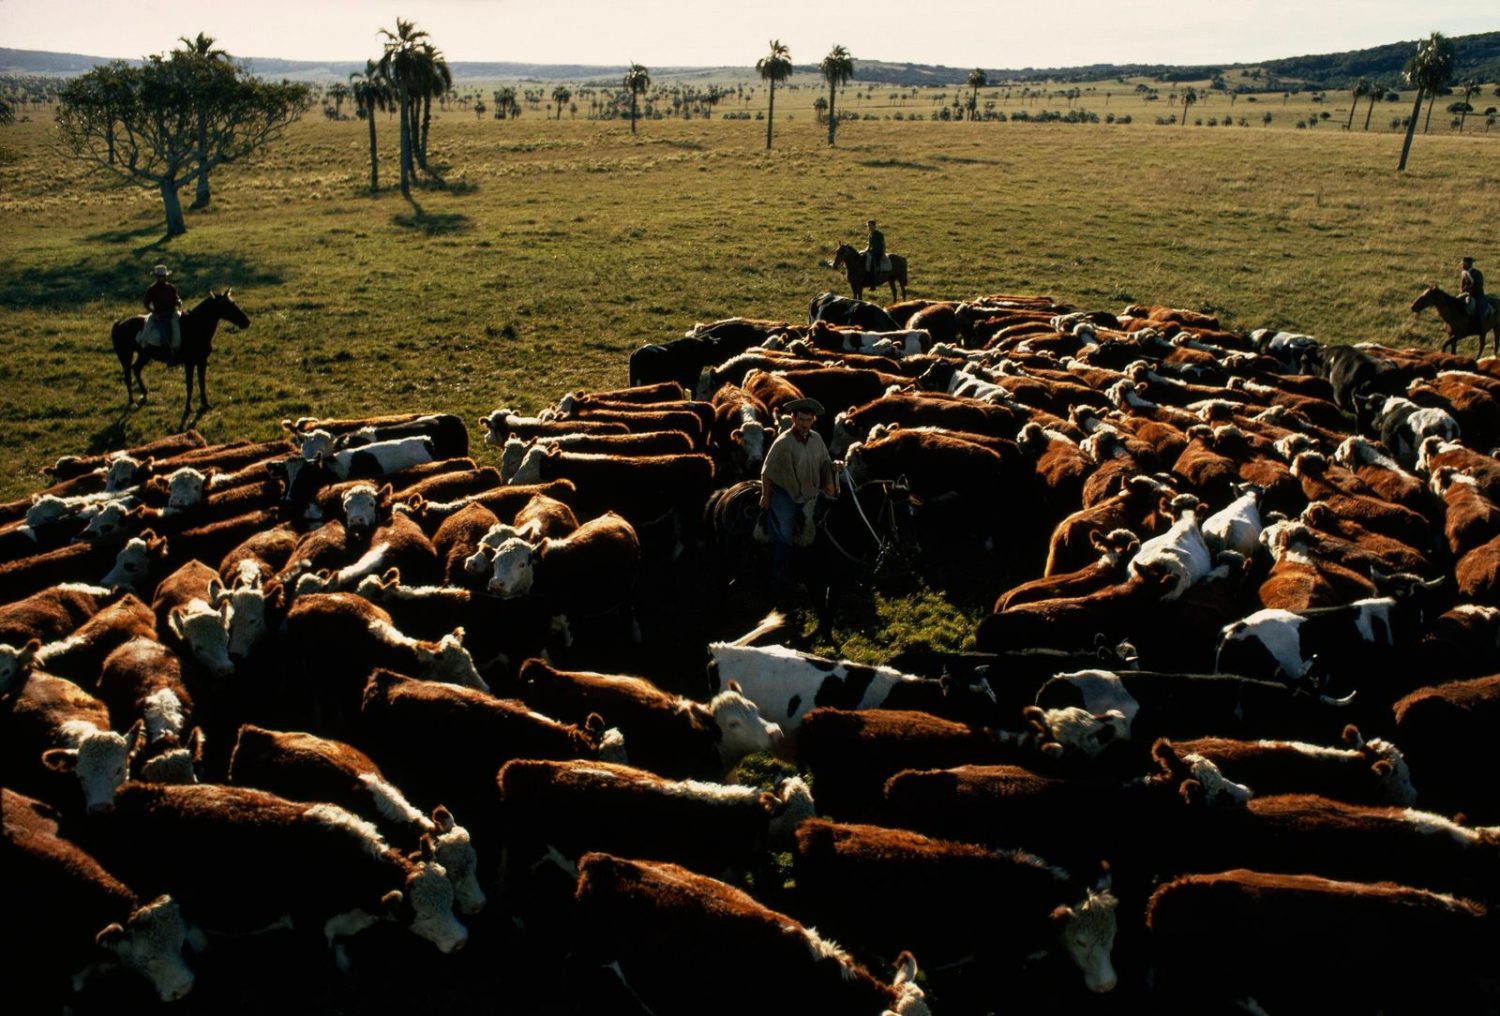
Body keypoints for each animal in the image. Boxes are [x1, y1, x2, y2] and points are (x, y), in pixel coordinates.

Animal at [705, 468, 924, 633]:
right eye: (900, 514)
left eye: (914, 512)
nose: (913, 551)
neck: (840, 526)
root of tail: (725, 493)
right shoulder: (812, 581)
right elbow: (823, 613)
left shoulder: (837, 582)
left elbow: (829, 613)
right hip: (728, 554)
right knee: (723, 581)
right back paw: (722, 616)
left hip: (758, 554)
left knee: (763, 577)